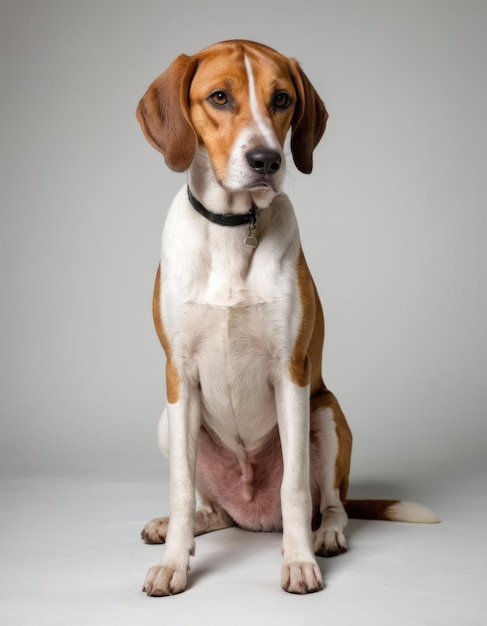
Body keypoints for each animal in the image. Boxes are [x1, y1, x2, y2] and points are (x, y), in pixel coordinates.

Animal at [136, 39, 438, 596]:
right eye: (219, 97)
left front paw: (299, 561)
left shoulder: (291, 372)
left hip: (327, 414)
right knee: (209, 508)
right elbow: (180, 488)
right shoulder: (179, 372)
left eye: (282, 99)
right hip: (169, 423)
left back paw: (326, 536)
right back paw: (177, 529)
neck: (234, 226)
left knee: (333, 504)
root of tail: (252, 516)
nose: (266, 160)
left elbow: (296, 488)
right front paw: (173, 563)